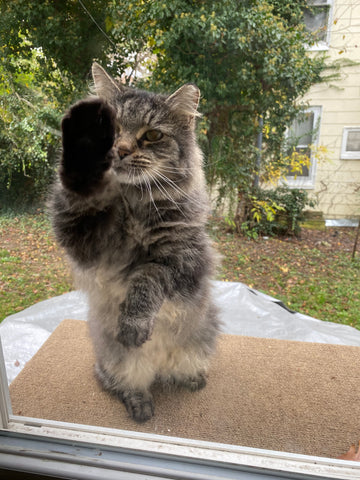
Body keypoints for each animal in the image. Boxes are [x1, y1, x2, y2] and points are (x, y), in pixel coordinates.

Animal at [49, 62, 221, 422]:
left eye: (152, 135)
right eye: (110, 130)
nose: (121, 151)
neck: (134, 204)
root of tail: (159, 368)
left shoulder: (186, 259)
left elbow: (148, 278)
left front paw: (134, 324)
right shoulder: (85, 245)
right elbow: (75, 198)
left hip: (198, 343)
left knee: (179, 371)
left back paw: (190, 379)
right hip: (116, 361)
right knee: (118, 381)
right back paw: (140, 405)